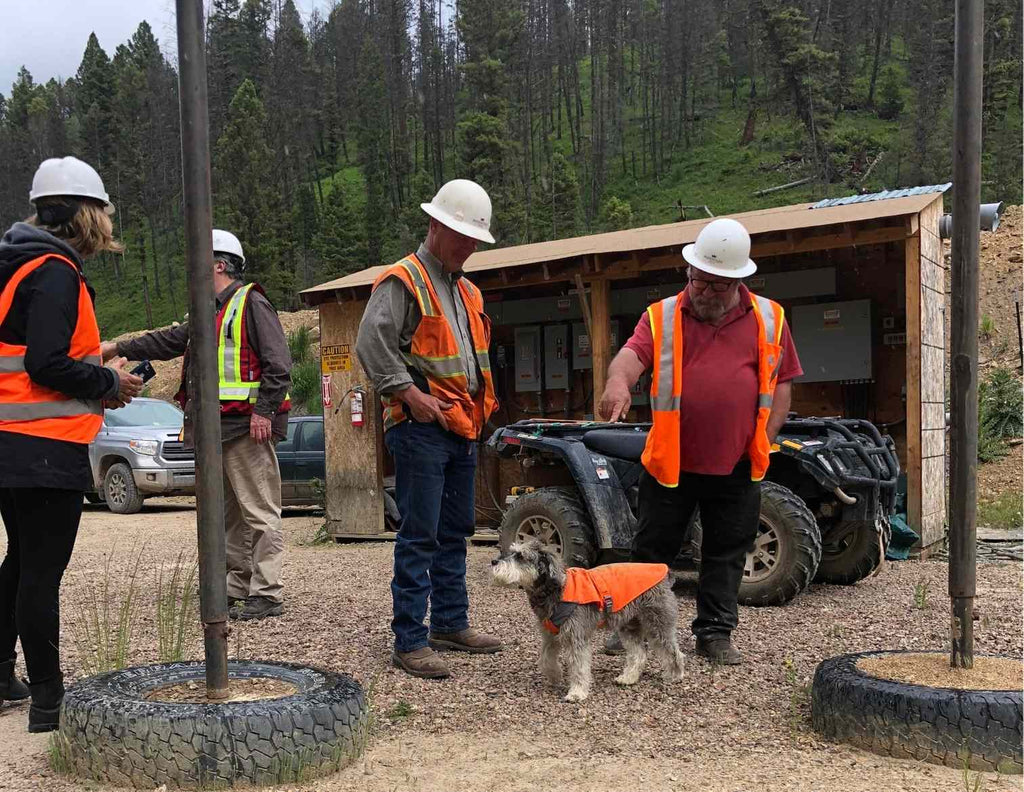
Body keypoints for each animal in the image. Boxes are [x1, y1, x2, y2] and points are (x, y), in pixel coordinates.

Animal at [491, 536, 684, 696]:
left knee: (673, 651)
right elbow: (545, 659)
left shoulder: (576, 636)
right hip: (629, 626)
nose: (493, 561)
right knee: (639, 653)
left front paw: (576, 692)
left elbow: (579, 666)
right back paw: (628, 678)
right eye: (511, 551)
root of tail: (665, 573)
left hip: (657, 624)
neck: (554, 590)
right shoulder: (550, 635)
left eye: (520, 556)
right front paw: (555, 676)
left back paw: (675, 675)